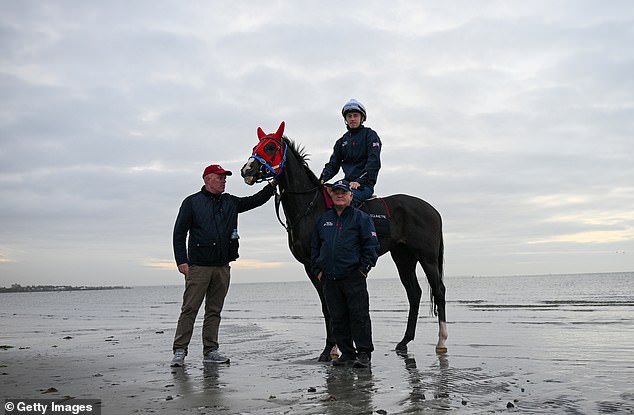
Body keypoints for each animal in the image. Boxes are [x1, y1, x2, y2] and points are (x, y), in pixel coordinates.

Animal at [241, 121, 444, 360]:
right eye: (255, 146)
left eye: (271, 147)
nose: (247, 170)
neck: (310, 207)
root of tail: (432, 210)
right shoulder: (310, 266)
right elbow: (327, 306)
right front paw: (336, 348)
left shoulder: (318, 263)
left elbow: (330, 306)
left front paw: (330, 348)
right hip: (403, 257)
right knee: (414, 293)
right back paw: (404, 341)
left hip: (427, 257)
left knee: (439, 290)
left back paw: (441, 341)